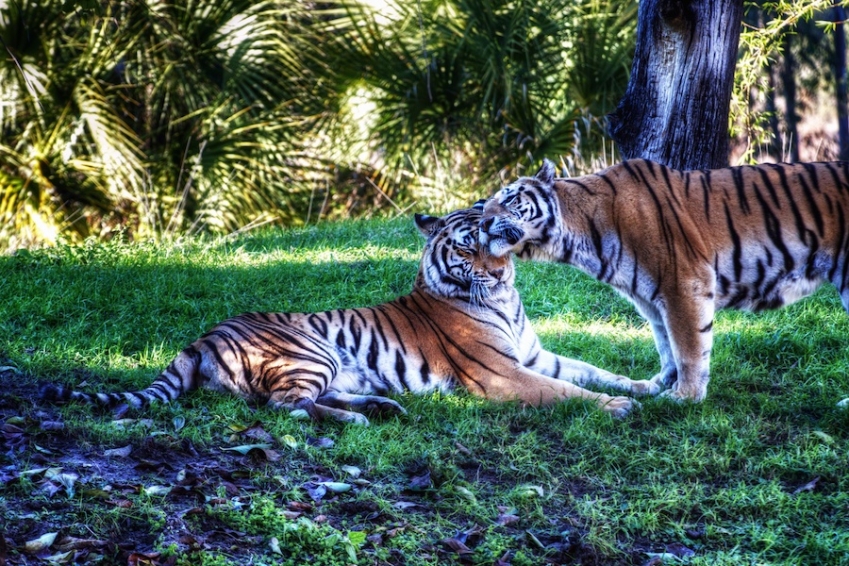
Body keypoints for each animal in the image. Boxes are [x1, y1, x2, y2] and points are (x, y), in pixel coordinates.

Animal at [41, 204, 654, 424]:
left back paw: (382, 406)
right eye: (466, 247)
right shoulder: (503, 373)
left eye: (497, 240)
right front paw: (617, 407)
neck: (504, 302)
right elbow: (566, 391)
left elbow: (591, 370)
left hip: (334, 365)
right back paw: (359, 419)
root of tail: (203, 335)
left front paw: (649, 386)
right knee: (284, 408)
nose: (499, 273)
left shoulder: (535, 354)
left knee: (305, 400)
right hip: (312, 350)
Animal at [478, 158, 849, 404]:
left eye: (509, 199)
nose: (482, 223)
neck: (578, 236)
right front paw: (661, 382)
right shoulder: (649, 297)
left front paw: (685, 397)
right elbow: (665, 343)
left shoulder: (683, 283)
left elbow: (688, 346)